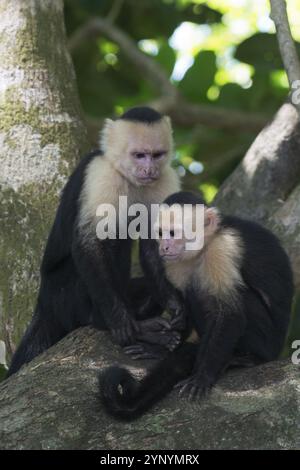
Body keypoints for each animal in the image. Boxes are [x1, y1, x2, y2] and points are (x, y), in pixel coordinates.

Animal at [7, 107, 180, 378]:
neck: (128, 177)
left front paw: (172, 301)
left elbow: (158, 241)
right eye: (139, 155)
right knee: (111, 240)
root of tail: (43, 302)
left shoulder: (165, 179)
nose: (149, 170)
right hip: (62, 294)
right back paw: (120, 323)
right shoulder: (101, 174)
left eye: (156, 155)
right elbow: (90, 241)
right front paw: (120, 322)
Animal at [99, 193, 292, 420]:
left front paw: (202, 376)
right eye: (161, 233)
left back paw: (249, 359)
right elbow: (182, 309)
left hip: (269, 344)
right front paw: (162, 348)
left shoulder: (223, 249)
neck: (203, 248)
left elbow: (230, 313)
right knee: (195, 291)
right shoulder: (176, 262)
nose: (164, 247)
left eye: (173, 233)